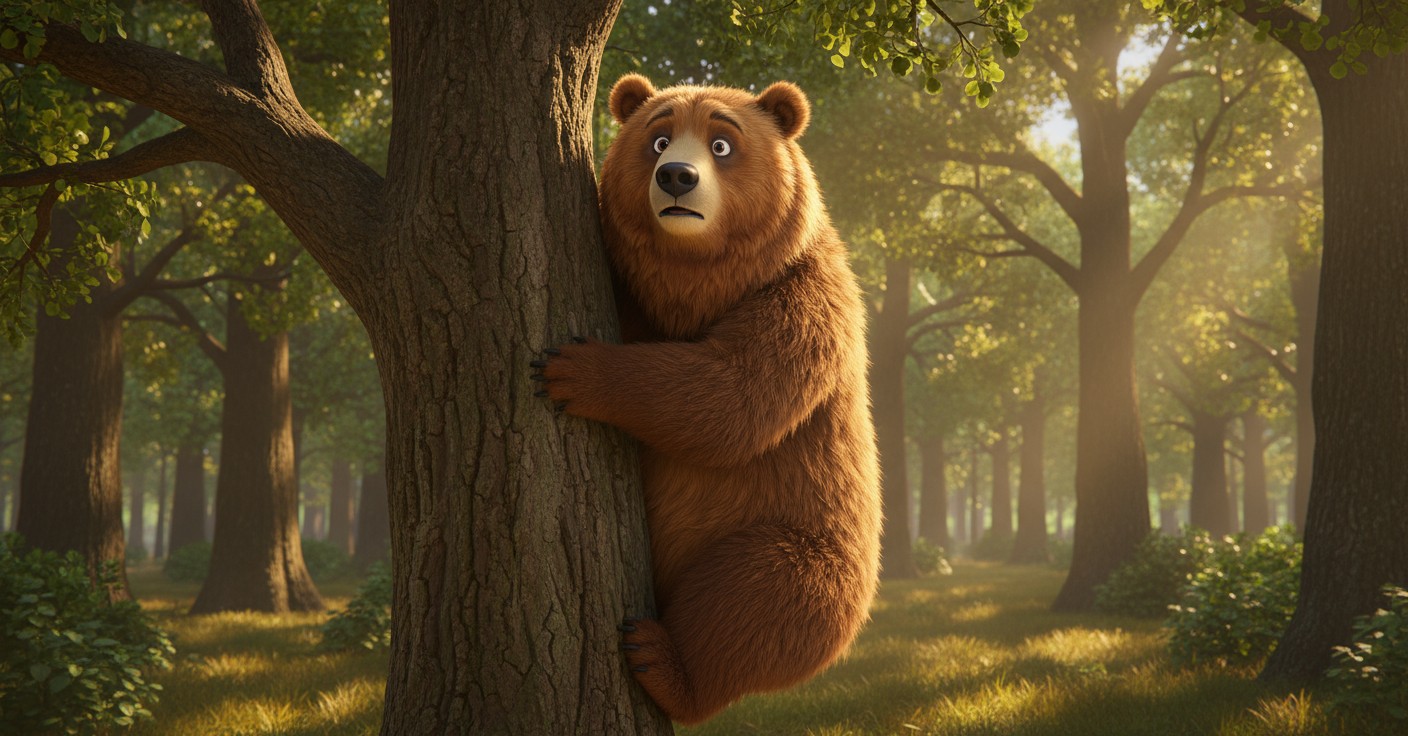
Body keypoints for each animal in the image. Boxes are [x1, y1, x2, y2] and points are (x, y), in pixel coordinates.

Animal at [533, 73, 881, 725]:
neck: (698, 285)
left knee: (764, 597)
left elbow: (730, 397)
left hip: (802, 539)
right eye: (658, 137)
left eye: (722, 144)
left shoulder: (804, 299)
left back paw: (662, 663)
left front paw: (573, 371)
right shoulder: (634, 292)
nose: (676, 176)